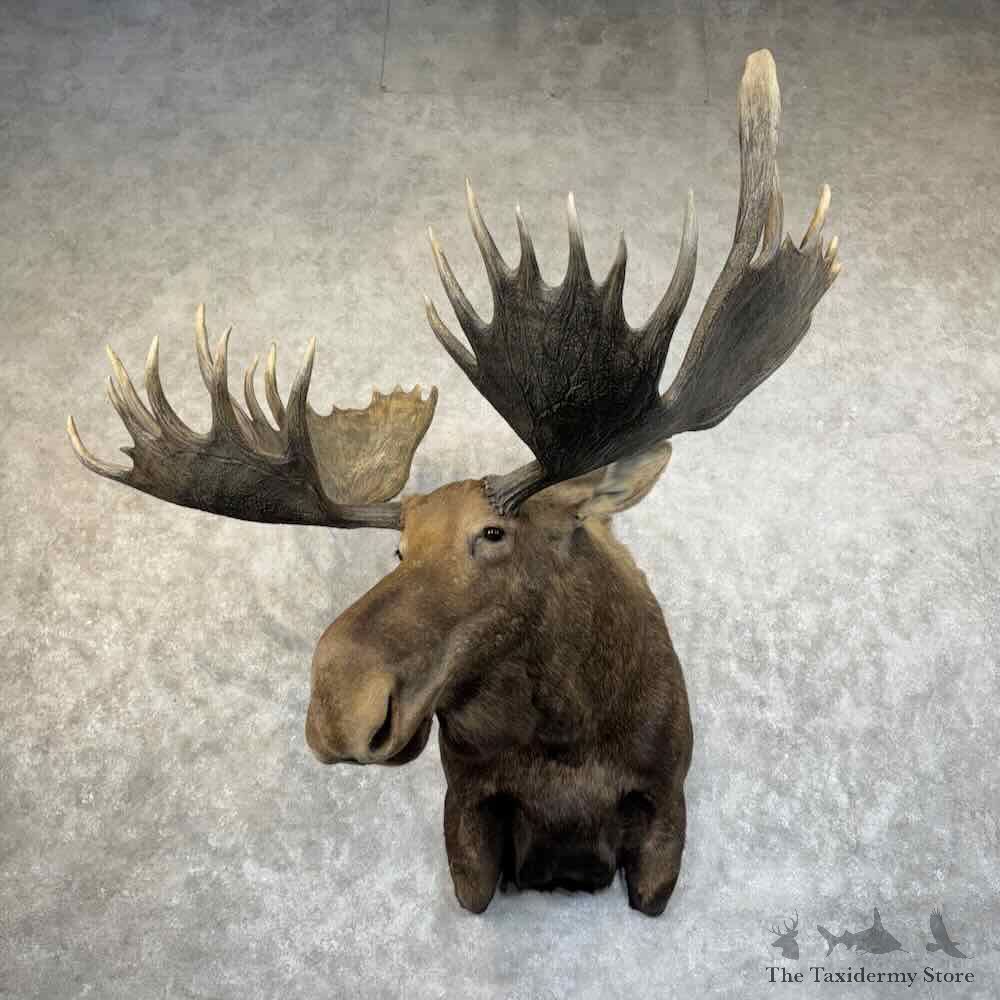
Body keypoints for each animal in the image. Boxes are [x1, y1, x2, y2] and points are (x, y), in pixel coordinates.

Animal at [67, 51, 840, 916]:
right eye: (398, 551)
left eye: (493, 534)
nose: (340, 704)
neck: (567, 745)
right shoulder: (466, 811)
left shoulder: (664, 803)